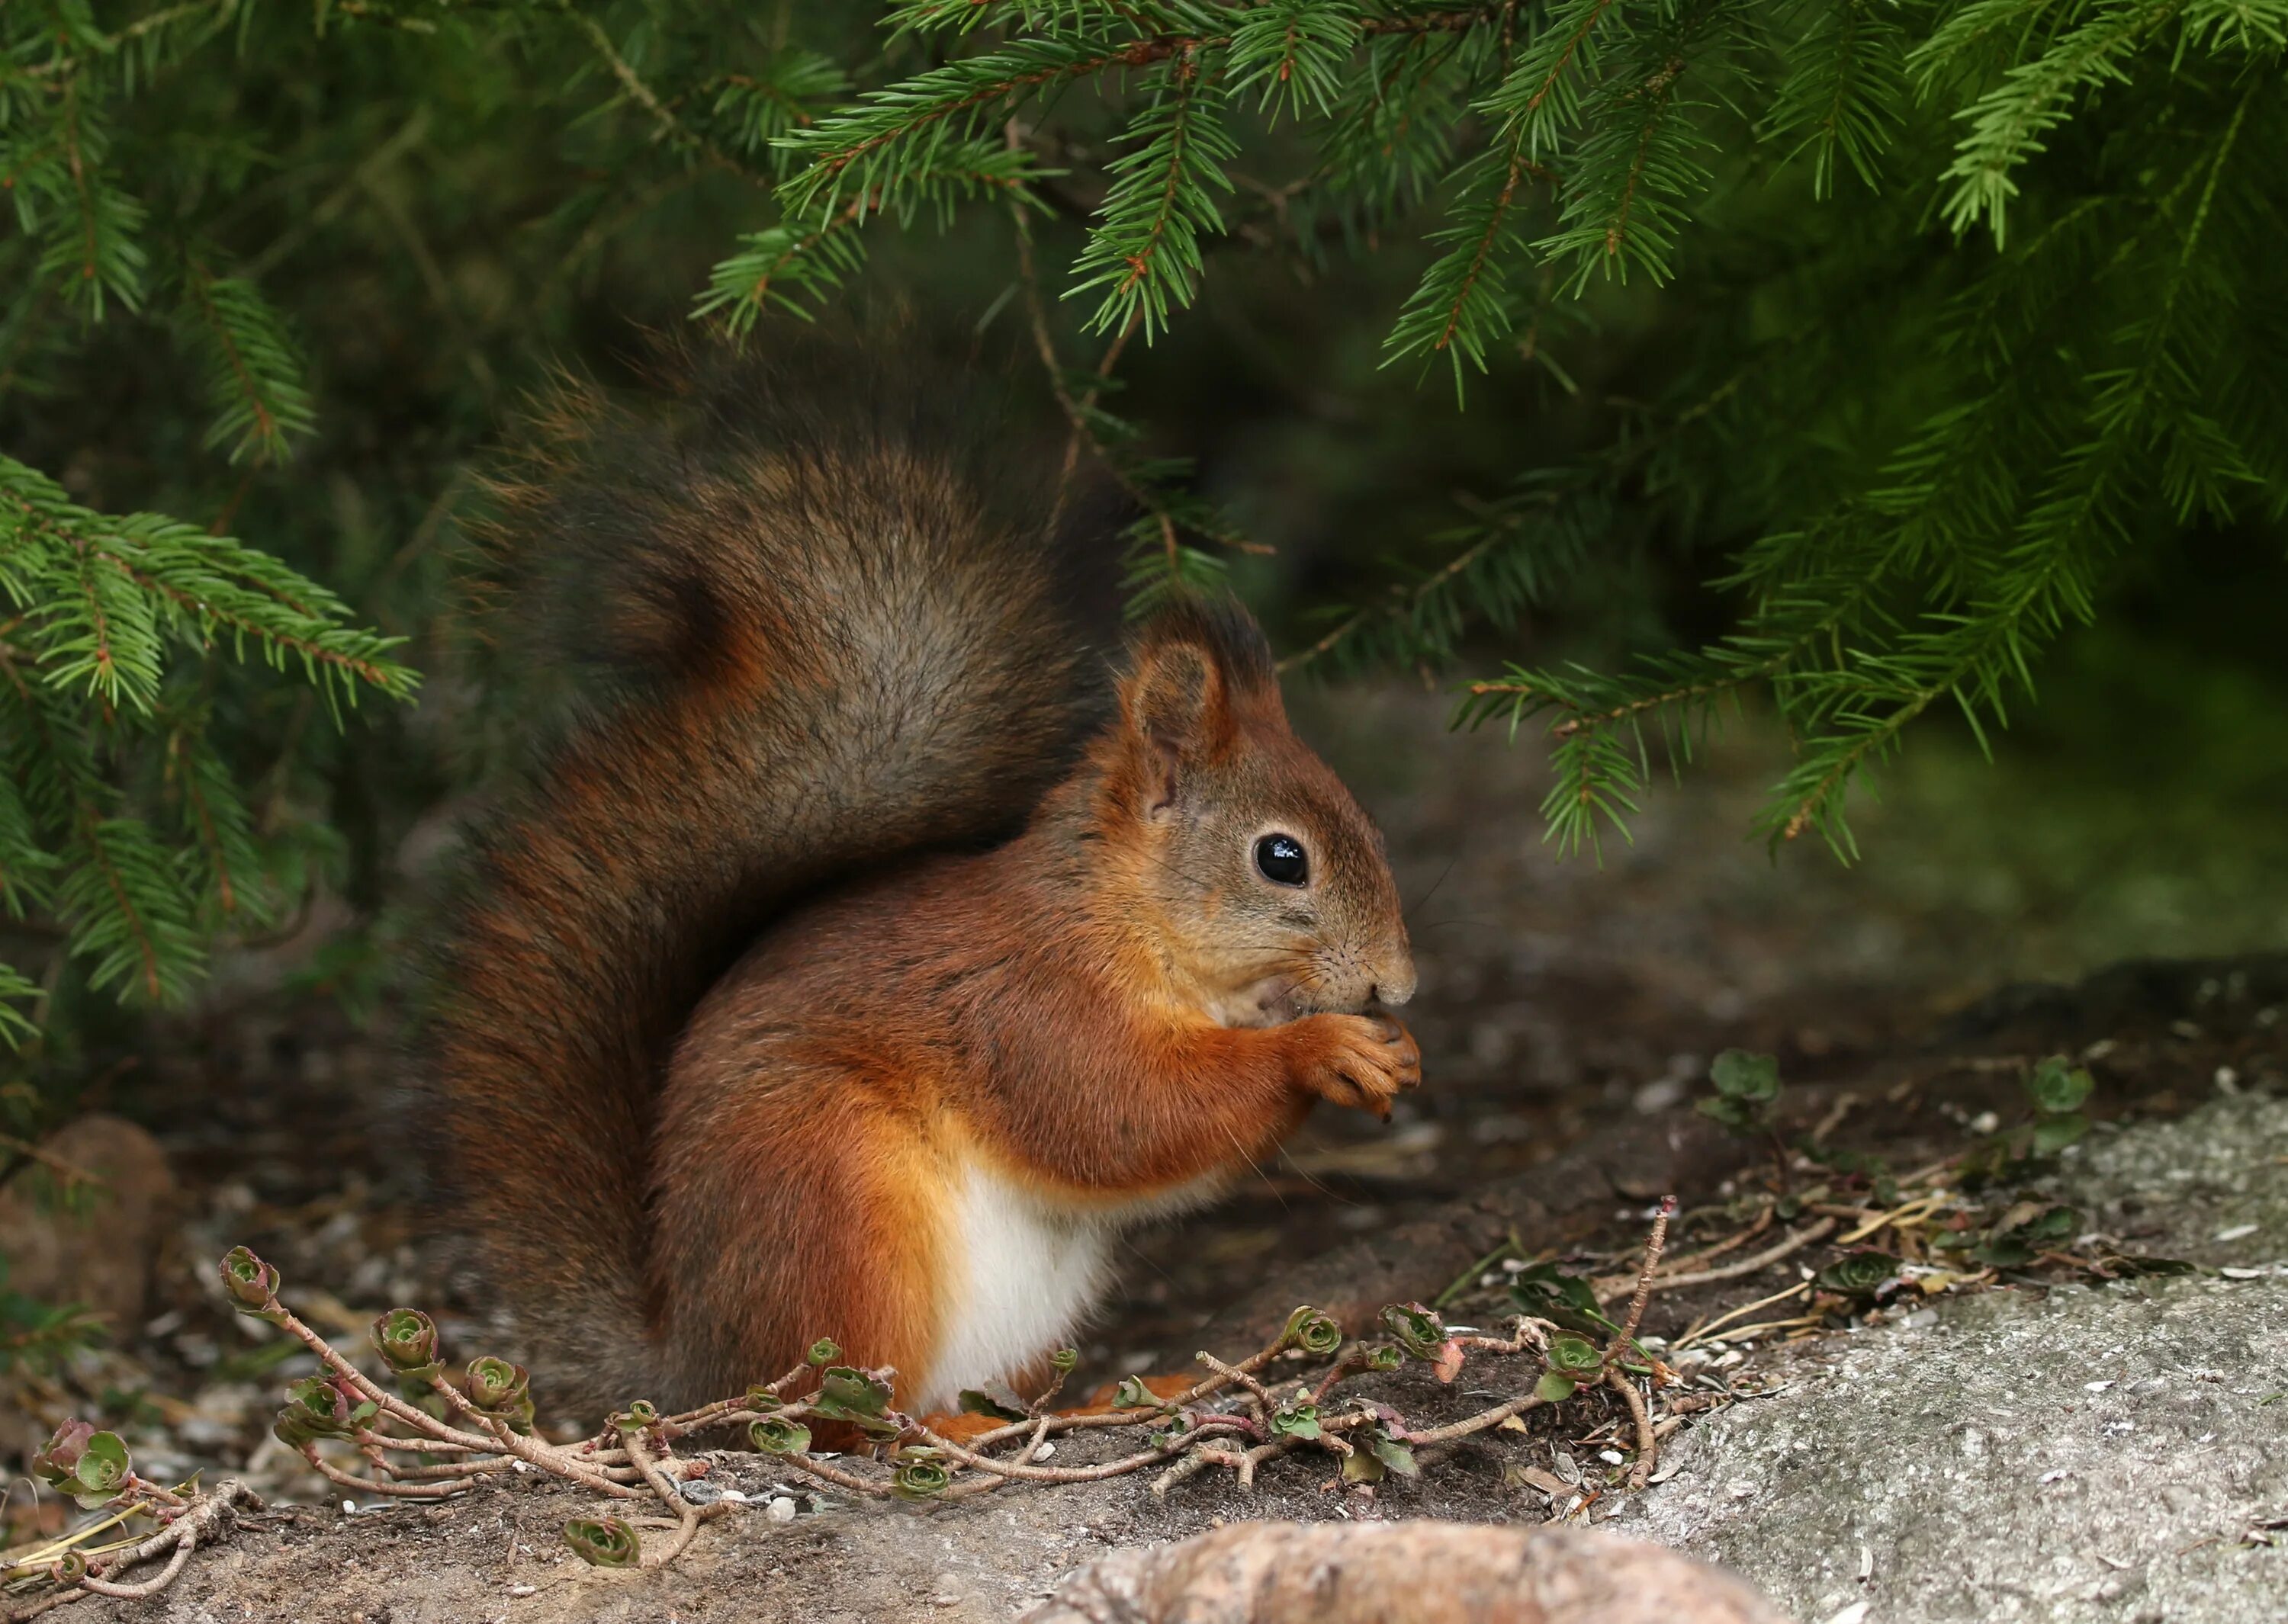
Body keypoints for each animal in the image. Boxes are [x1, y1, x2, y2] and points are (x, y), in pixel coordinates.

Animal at [430, 343, 1419, 1427]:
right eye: (1283, 858)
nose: (1400, 985)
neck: (1125, 919)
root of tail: (696, 1364)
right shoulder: (1028, 1006)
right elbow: (1120, 1114)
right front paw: (1322, 1049)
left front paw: (1388, 1049)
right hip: (834, 1200)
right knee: (840, 1418)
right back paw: (955, 1427)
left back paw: (1103, 1400)